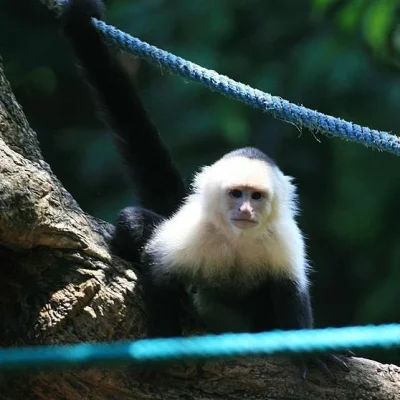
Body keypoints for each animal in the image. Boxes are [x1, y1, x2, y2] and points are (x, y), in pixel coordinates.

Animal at [60, 0, 350, 380]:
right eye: (236, 194)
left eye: (256, 196)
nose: (245, 210)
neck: (237, 239)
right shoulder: (193, 230)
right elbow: (158, 269)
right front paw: (162, 339)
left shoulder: (285, 236)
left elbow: (290, 290)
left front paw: (307, 349)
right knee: (134, 221)